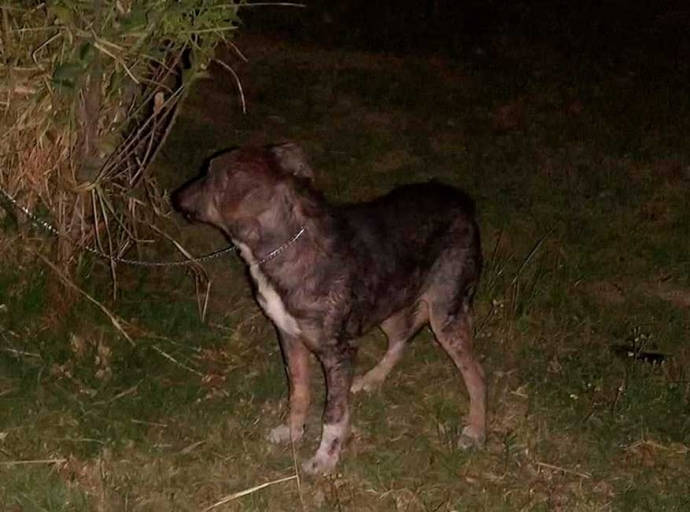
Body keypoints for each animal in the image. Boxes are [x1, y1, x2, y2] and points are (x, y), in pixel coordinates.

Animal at [172, 144, 484, 476]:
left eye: (208, 174)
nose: (176, 196)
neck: (283, 245)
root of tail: (462, 200)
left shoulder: (338, 353)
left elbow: (333, 414)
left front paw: (324, 459)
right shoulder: (290, 338)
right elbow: (299, 393)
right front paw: (292, 432)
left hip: (445, 313)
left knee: (475, 373)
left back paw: (476, 430)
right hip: (388, 303)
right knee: (402, 338)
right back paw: (373, 379)